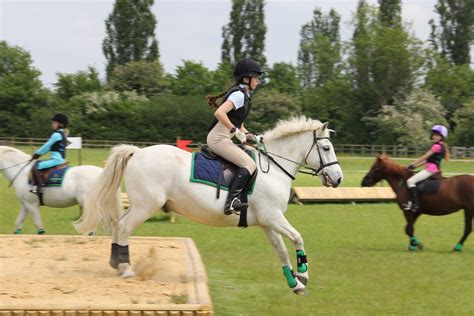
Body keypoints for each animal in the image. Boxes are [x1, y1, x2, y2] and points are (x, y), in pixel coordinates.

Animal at [74, 117, 342, 296]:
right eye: (326, 148)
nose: (338, 179)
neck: (273, 168)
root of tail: (137, 152)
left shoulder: (267, 222)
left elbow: (282, 251)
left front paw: (295, 284)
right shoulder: (274, 217)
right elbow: (297, 238)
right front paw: (304, 274)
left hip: (140, 204)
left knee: (118, 226)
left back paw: (116, 264)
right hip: (145, 206)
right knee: (124, 228)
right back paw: (126, 268)